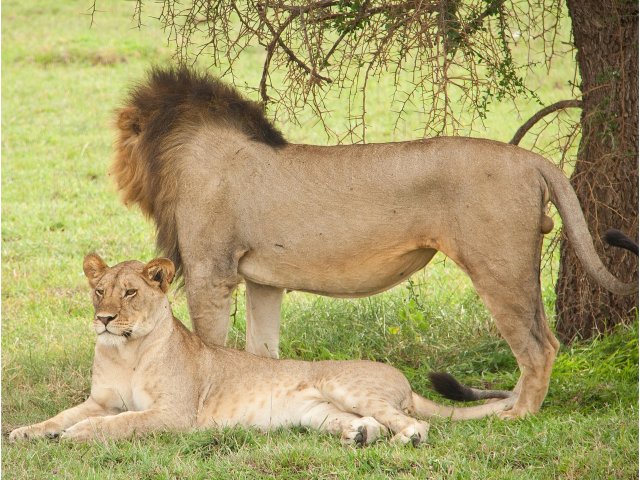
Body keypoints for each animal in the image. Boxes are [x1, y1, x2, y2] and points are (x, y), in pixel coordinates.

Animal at [8, 253, 516, 444]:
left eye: (130, 292)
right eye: (100, 291)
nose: (105, 319)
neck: (126, 351)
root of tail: (405, 382)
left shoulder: (174, 414)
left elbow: (121, 423)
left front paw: (77, 435)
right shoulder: (99, 400)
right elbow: (60, 415)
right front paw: (26, 432)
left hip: (345, 385)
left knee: (414, 425)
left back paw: (400, 441)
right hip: (319, 414)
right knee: (367, 423)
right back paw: (358, 437)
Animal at [112, 65, 636, 418]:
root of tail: (531, 160)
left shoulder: (211, 273)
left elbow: (209, 346)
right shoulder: (264, 282)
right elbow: (263, 354)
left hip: (498, 268)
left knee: (539, 348)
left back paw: (517, 416)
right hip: (514, 267)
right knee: (545, 340)